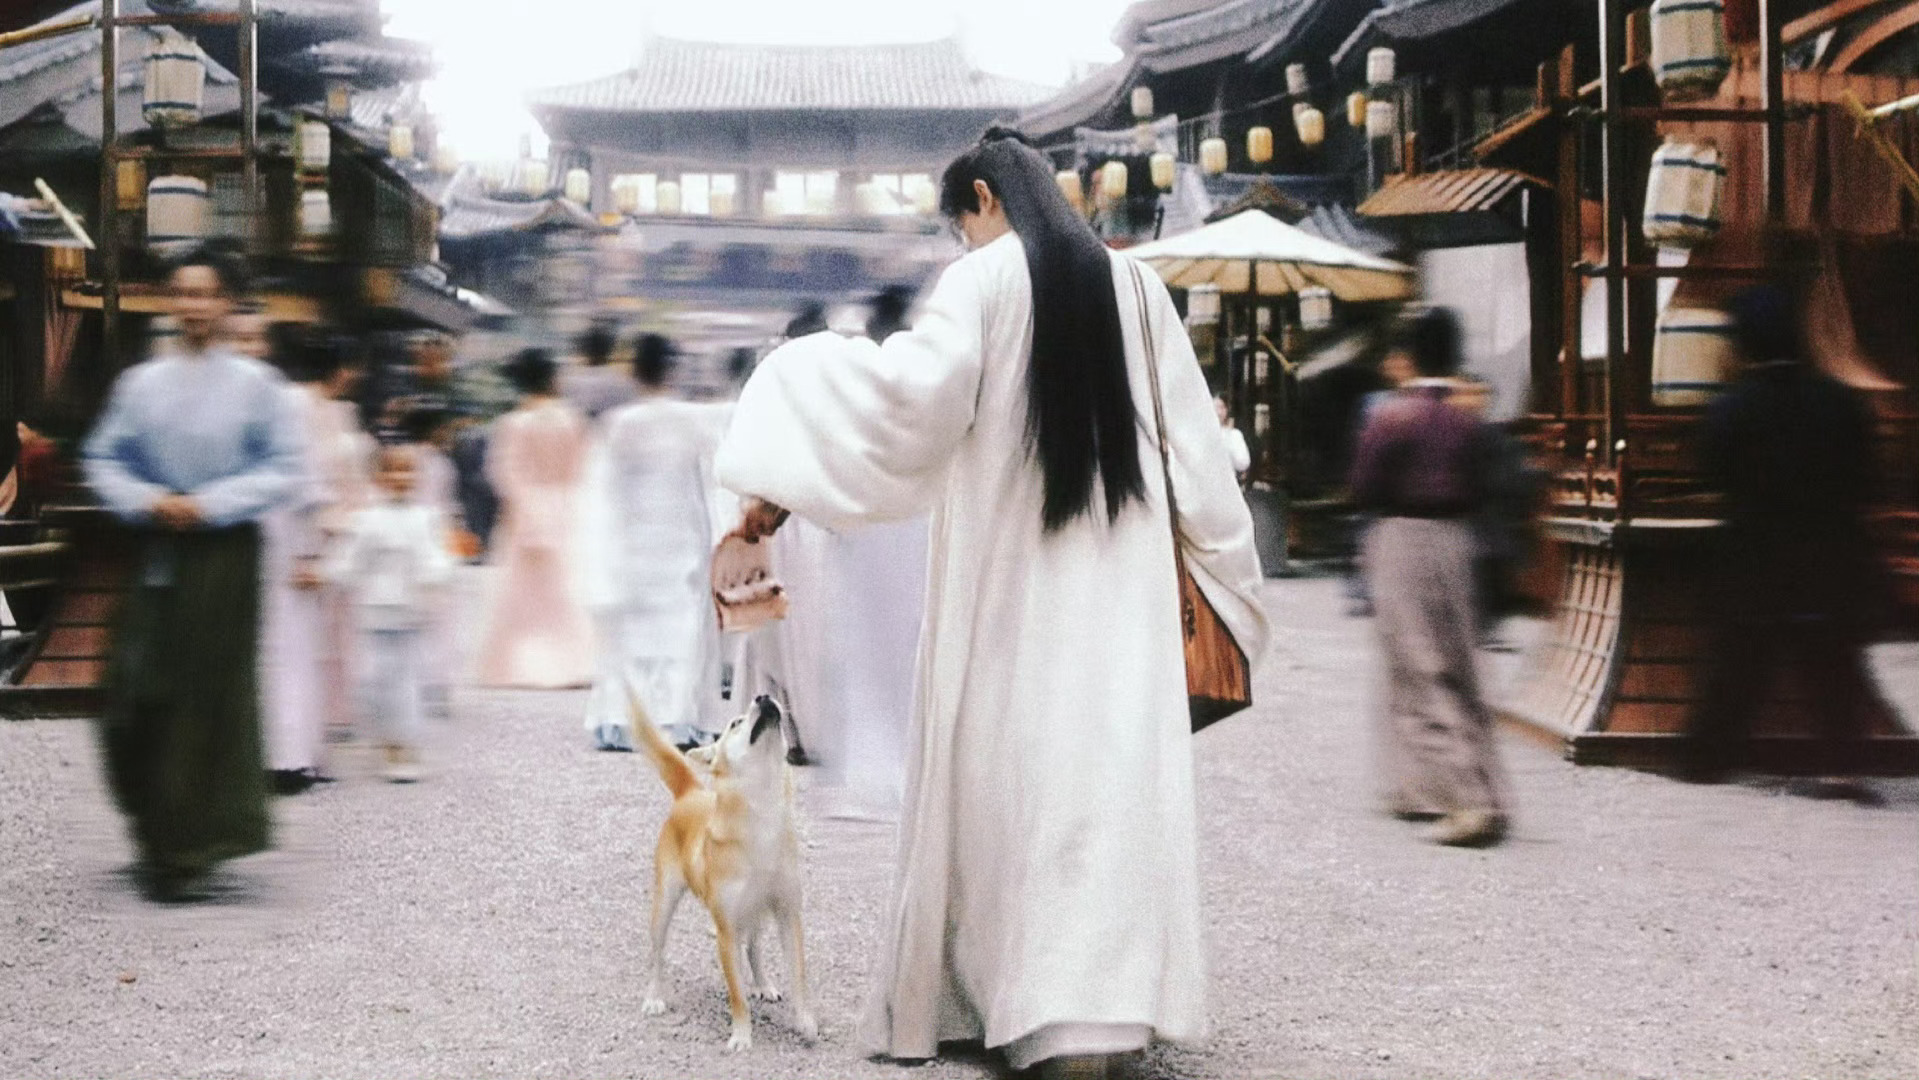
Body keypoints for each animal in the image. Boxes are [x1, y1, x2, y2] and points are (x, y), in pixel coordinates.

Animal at [625, 690, 813, 1051]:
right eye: (735, 723)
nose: (764, 695)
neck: (761, 814)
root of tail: (691, 792)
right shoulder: (727, 932)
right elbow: (737, 994)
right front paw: (741, 1034)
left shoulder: (788, 915)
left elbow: (798, 977)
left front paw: (805, 1022)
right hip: (664, 904)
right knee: (657, 953)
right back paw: (654, 996)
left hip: (755, 913)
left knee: (753, 947)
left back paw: (763, 984)